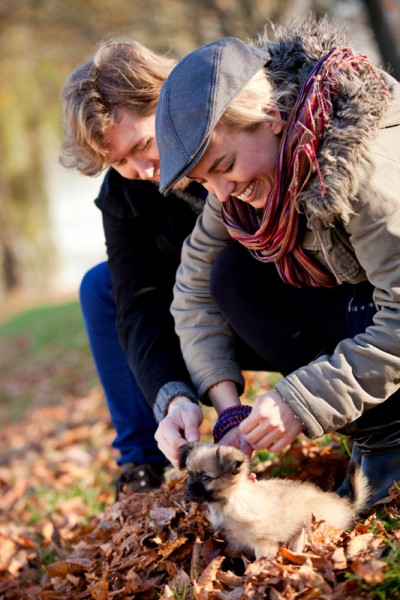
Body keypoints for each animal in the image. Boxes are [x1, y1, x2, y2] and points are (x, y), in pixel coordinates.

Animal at [180, 440, 370, 556]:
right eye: (188, 475)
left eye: (205, 477)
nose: (187, 491)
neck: (231, 500)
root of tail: (347, 506)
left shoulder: (264, 543)